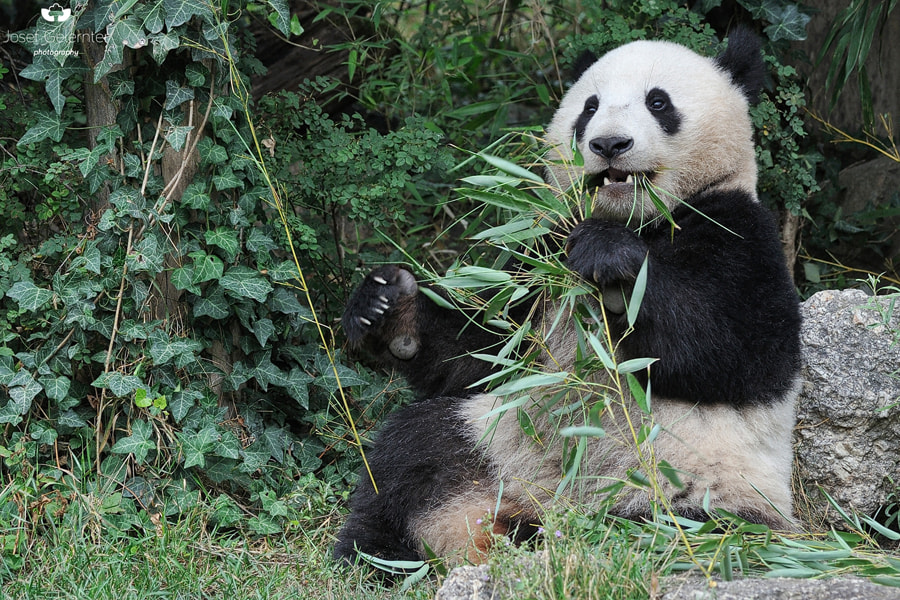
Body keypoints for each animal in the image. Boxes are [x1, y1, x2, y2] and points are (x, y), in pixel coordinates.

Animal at [334, 28, 802, 567]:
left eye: (658, 102)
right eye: (589, 107)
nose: (609, 144)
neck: (636, 219)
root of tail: (549, 511)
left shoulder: (741, 230)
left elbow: (733, 347)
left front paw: (611, 265)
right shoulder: (540, 256)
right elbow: (486, 351)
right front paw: (389, 307)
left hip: (697, 492)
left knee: (671, 542)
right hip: (497, 439)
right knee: (411, 453)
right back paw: (379, 555)